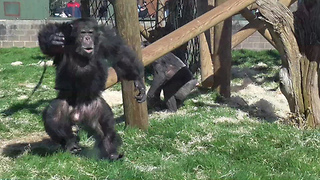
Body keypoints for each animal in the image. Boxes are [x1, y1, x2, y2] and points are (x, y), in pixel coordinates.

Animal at [37, 17, 146, 160]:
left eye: (90, 32)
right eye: (83, 32)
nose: (87, 38)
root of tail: (78, 115)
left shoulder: (106, 40)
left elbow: (120, 55)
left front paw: (138, 81)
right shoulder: (62, 33)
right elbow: (47, 40)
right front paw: (53, 39)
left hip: (96, 107)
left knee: (106, 127)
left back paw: (111, 152)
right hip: (65, 103)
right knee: (54, 116)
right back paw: (70, 143)